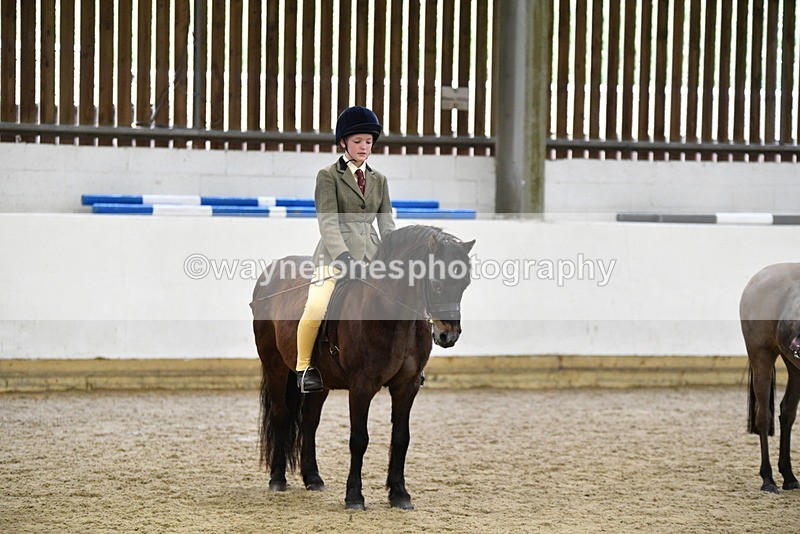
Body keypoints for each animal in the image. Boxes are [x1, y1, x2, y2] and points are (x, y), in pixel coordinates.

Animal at [250, 225, 475, 510]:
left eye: (464, 285)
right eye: (437, 284)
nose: (448, 336)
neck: (391, 313)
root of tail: (270, 273)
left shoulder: (407, 386)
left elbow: (401, 437)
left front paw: (400, 494)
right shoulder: (361, 386)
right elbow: (359, 439)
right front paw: (354, 496)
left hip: (321, 382)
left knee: (309, 420)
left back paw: (313, 479)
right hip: (274, 365)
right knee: (281, 414)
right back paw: (278, 479)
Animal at [740, 262, 800, 493]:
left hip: (794, 367)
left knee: (787, 412)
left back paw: (789, 476)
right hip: (761, 356)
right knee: (763, 416)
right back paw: (768, 479)